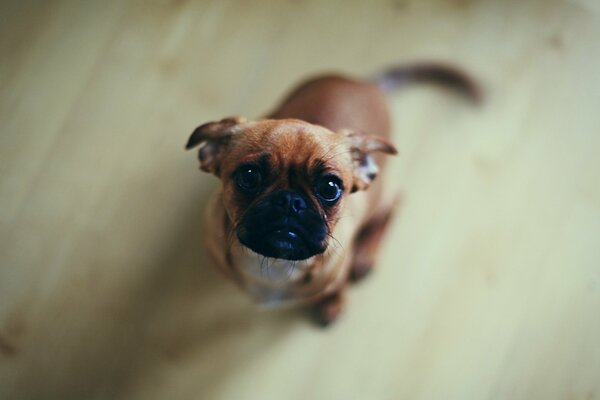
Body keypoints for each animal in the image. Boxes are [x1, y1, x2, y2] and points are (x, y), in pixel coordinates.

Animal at [185, 62, 480, 324]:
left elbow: (339, 285)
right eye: (248, 177)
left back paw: (365, 256)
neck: (276, 264)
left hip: (378, 198)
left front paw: (334, 302)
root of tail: (364, 82)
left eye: (330, 188)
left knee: (392, 206)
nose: (289, 201)